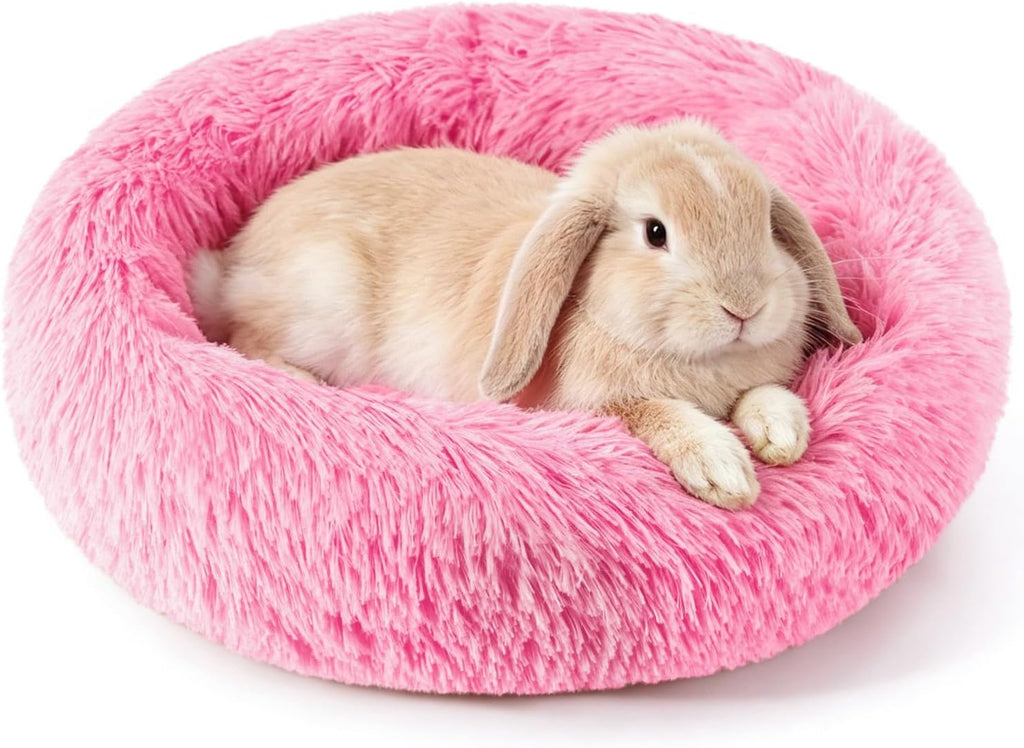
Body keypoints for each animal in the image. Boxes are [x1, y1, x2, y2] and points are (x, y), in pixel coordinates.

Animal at [188, 119, 862, 510]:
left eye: (765, 225)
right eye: (655, 232)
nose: (744, 306)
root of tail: (235, 262)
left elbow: (763, 394)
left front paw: (784, 435)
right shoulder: (599, 407)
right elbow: (659, 413)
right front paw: (725, 472)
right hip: (322, 302)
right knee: (248, 341)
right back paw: (306, 383)